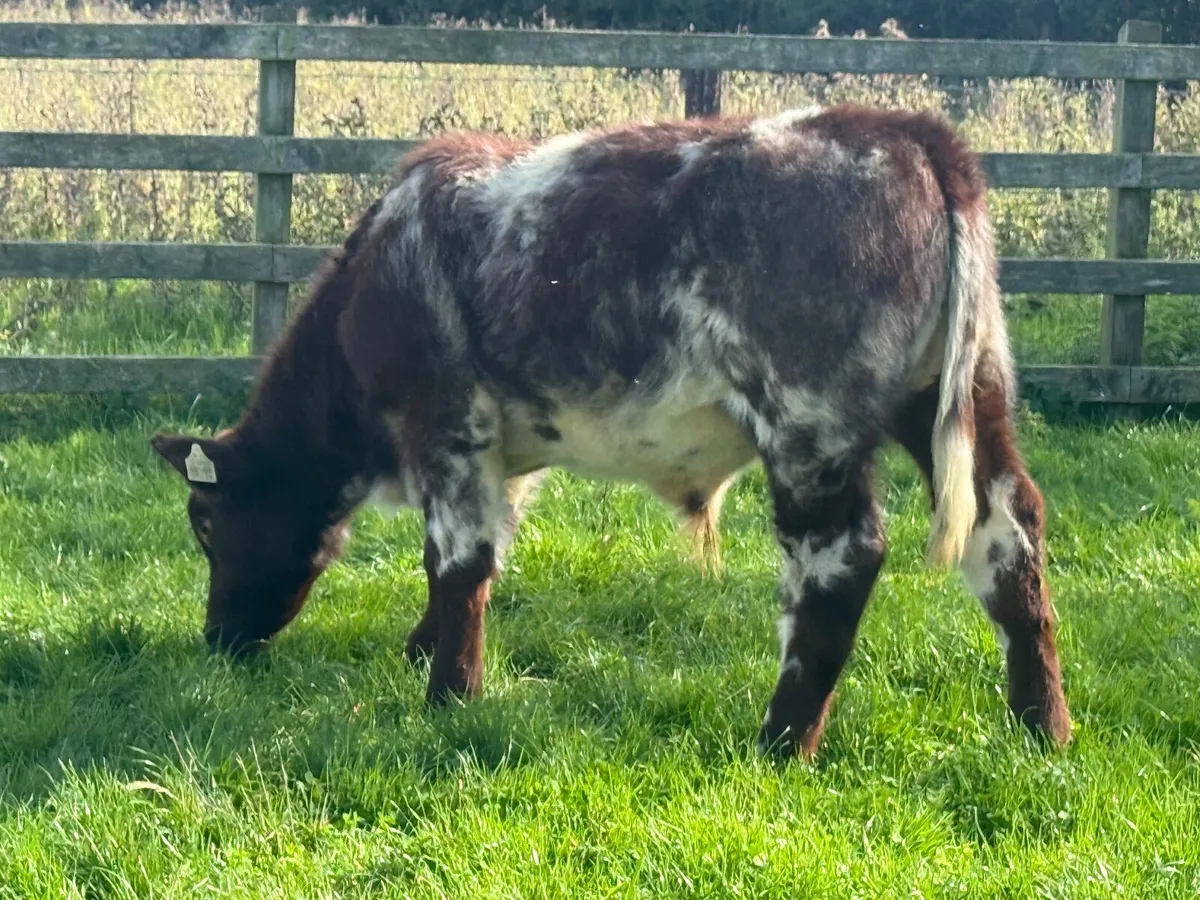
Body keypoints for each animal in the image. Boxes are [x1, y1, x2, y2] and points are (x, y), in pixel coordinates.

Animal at [150, 103, 1071, 758]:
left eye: (206, 524)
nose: (217, 638)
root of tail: (905, 130)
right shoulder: (505, 454)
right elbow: (487, 555)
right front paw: (426, 649)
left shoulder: (445, 424)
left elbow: (455, 562)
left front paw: (449, 694)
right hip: (966, 396)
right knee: (1008, 530)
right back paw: (1041, 726)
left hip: (811, 425)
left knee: (842, 558)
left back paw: (781, 741)